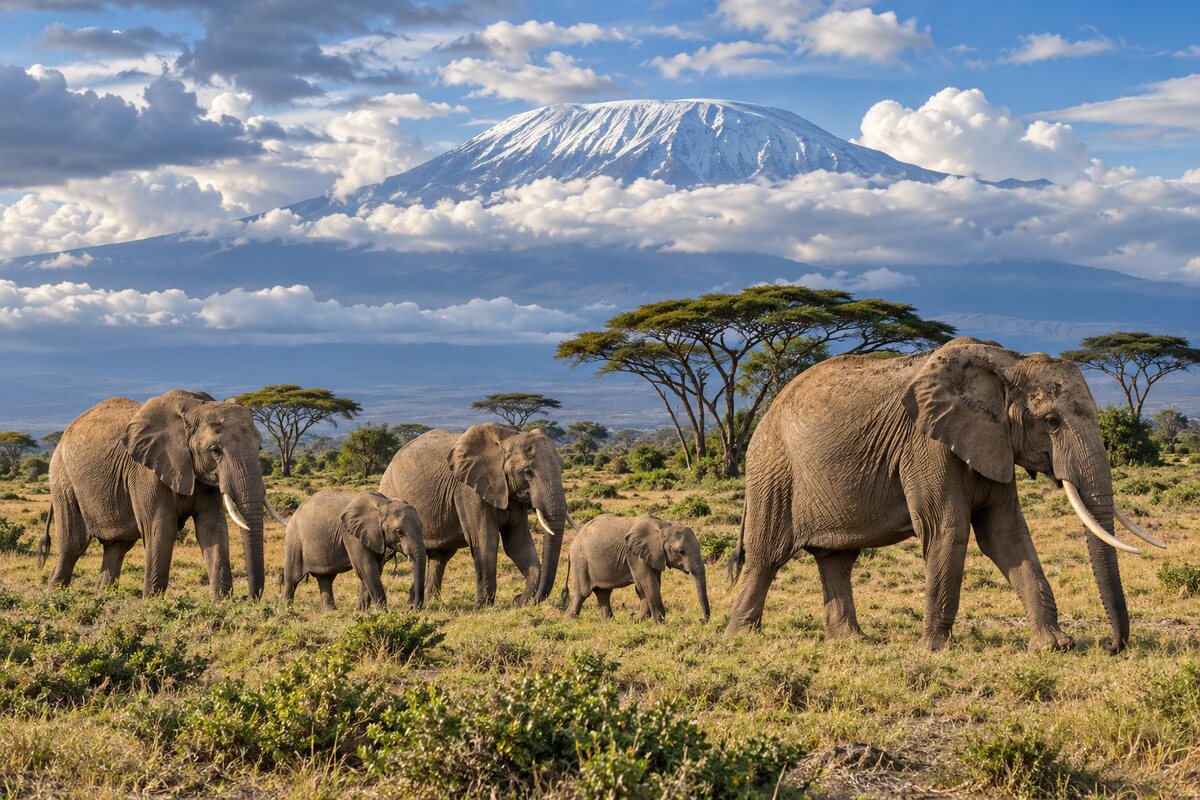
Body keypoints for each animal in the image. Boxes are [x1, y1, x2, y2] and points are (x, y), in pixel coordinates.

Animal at [39, 390, 284, 600]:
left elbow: (212, 528)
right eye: (215, 450)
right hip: (62, 478)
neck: (194, 409)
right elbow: (161, 527)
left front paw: (221, 603)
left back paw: (102, 598)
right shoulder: (146, 471)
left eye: (259, 448)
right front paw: (152, 604)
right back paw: (53, 598)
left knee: (117, 547)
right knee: (73, 545)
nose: (249, 598)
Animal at [280, 491, 426, 611]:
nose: (412, 609)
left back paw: (331, 612)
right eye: (399, 532)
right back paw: (286, 611)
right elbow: (367, 568)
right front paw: (383, 614)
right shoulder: (352, 535)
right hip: (294, 540)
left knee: (326, 578)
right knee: (292, 578)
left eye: (422, 527)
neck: (384, 503)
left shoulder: (376, 537)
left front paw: (361, 612)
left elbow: (374, 569)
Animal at [380, 423, 575, 608]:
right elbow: (485, 540)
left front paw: (521, 602)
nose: (517, 598)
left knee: (440, 557)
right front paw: (484, 606)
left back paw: (425, 603)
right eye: (528, 472)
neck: (510, 436)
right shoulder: (468, 490)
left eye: (562, 469)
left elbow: (517, 543)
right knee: (384, 553)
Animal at [561, 514, 710, 622]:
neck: (663, 526)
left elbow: (648, 585)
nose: (701, 620)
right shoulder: (635, 555)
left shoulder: (653, 555)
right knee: (583, 592)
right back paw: (569, 620)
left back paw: (610, 623)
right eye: (681, 551)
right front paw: (659, 623)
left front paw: (634, 619)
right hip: (581, 560)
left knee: (603, 592)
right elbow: (648, 582)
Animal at [726, 337, 1164, 654]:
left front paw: (1054, 647)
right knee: (766, 557)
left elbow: (1005, 535)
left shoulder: (991, 442)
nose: (1112, 648)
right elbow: (947, 529)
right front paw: (933, 650)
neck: (1007, 364)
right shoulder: (926, 444)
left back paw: (852, 642)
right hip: (773, 470)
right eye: (1052, 421)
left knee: (836, 560)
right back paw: (739, 637)